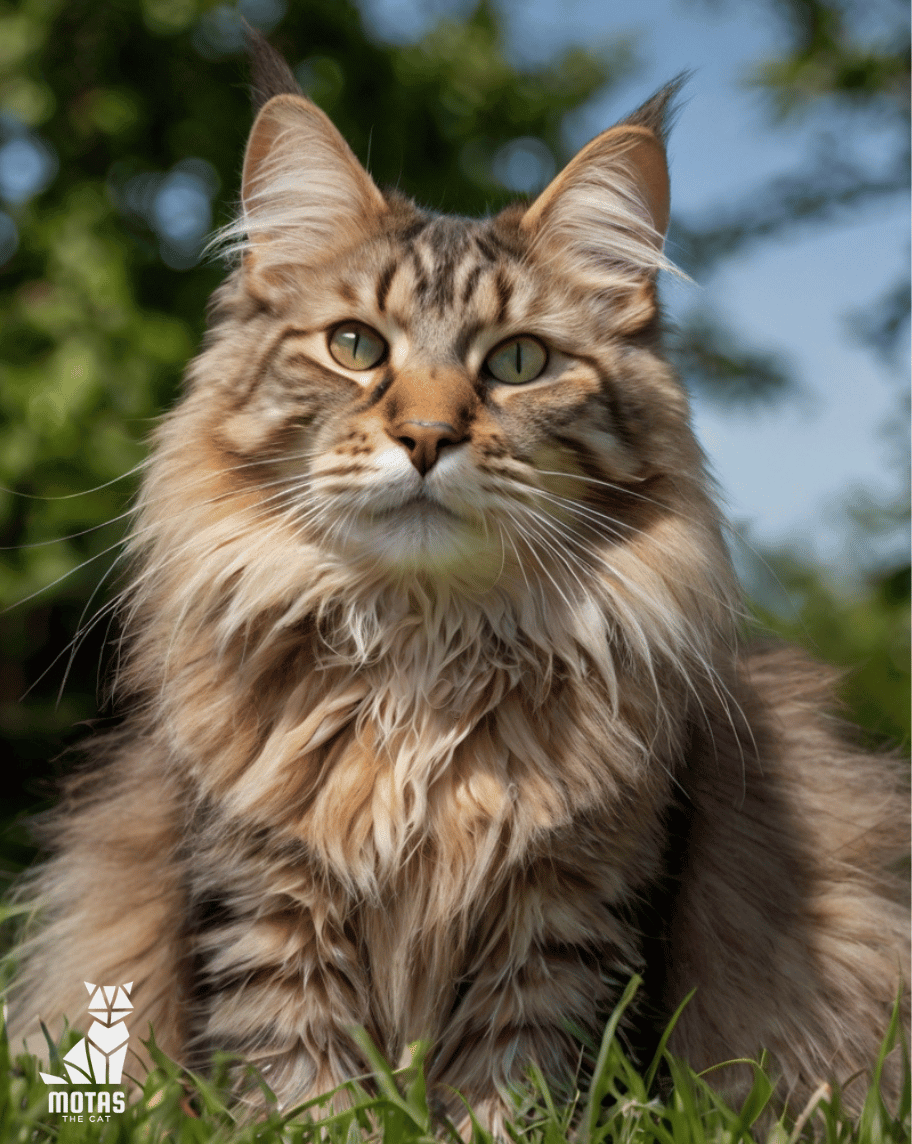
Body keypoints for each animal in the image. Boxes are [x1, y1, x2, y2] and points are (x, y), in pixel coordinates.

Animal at [10, 31, 906, 1139]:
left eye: (518, 362)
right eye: (355, 346)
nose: (428, 437)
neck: (422, 654)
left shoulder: (570, 917)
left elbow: (516, 1085)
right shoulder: (263, 907)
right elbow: (298, 1086)